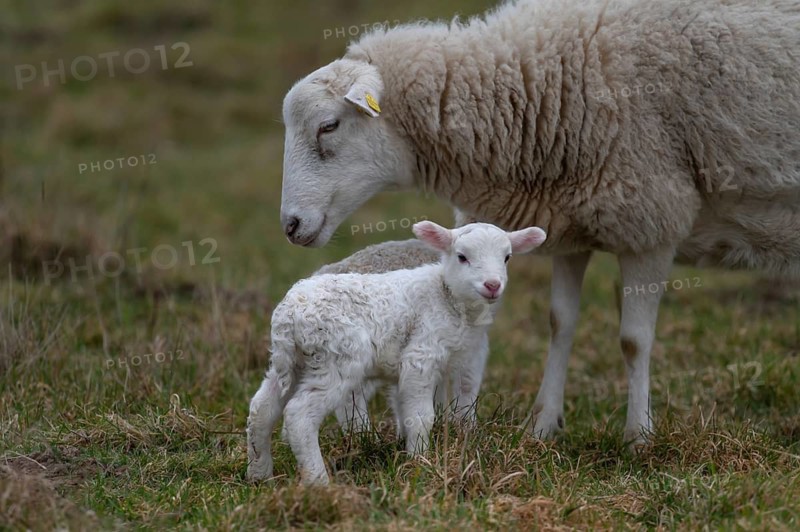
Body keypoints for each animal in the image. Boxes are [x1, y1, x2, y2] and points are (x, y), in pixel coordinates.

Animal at [246, 221, 547, 484]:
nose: (492, 285)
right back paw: (318, 481)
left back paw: (259, 474)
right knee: (299, 415)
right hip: (336, 358)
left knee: (262, 407)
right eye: (462, 257)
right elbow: (421, 417)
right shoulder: (420, 355)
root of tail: (288, 317)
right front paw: (419, 464)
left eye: (507, 257)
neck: (446, 296)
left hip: (293, 362)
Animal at [277, 0, 800, 446]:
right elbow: (560, 324)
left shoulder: (652, 220)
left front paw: (638, 437)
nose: (290, 225)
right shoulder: (571, 224)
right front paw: (543, 426)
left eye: (329, 126)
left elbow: (634, 341)